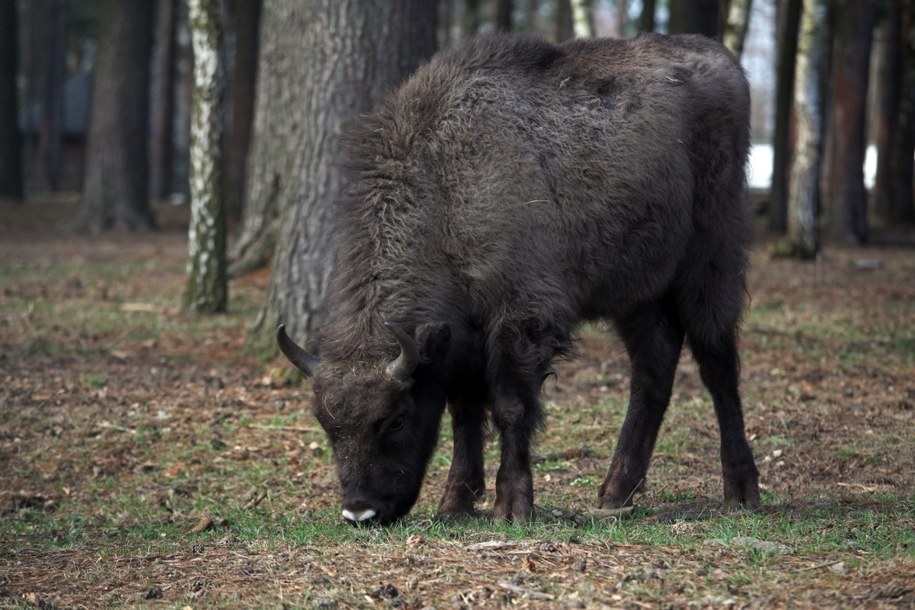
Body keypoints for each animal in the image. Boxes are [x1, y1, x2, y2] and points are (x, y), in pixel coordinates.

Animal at [280, 33, 764, 524]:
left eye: (396, 418)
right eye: (326, 424)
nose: (359, 512)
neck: (442, 192)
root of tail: (723, 60)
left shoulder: (520, 320)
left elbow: (510, 406)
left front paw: (512, 505)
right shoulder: (463, 338)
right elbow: (465, 411)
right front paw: (455, 503)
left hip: (710, 263)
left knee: (717, 364)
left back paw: (741, 491)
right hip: (638, 293)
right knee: (653, 372)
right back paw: (615, 493)